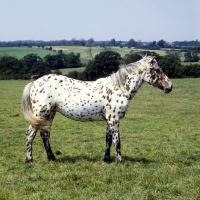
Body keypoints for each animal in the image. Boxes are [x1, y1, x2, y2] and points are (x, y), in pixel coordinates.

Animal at [21, 54, 172, 162]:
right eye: (158, 70)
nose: (169, 87)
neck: (118, 88)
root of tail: (35, 82)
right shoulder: (114, 119)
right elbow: (117, 141)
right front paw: (120, 161)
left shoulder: (109, 120)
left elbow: (108, 139)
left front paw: (107, 159)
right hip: (40, 114)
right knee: (30, 134)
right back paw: (29, 159)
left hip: (49, 114)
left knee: (44, 134)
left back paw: (51, 158)